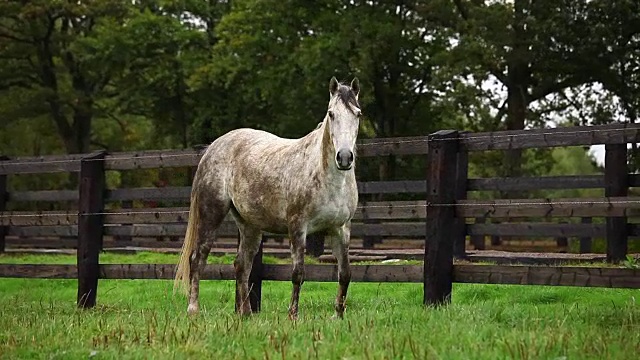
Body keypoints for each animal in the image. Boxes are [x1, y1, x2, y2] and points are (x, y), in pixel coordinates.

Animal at [174, 77, 360, 320]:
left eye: (358, 114)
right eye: (331, 114)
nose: (345, 157)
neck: (326, 177)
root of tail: (212, 148)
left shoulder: (341, 229)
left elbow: (345, 273)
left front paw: (338, 316)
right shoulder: (297, 227)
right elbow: (298, 273)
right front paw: (293, 316)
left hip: (249, 225)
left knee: (242, 265)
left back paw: (246, 313)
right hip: (211, 214)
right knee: (198, 259)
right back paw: (193, 309)